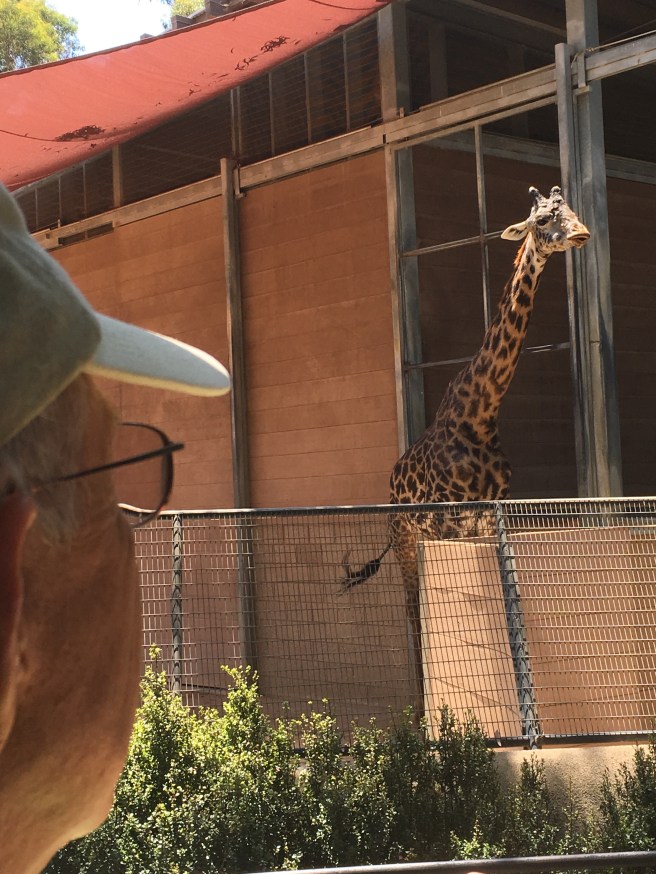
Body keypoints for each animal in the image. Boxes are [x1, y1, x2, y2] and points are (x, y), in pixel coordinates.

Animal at [341, 185, 590, 714]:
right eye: (542, 220)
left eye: (572, 210)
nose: (581, 233)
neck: (480, 413)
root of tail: (389, 484)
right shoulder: (449, 521)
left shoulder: (489, 515)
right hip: (406, 541)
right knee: (412, 615)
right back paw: (418, 710)